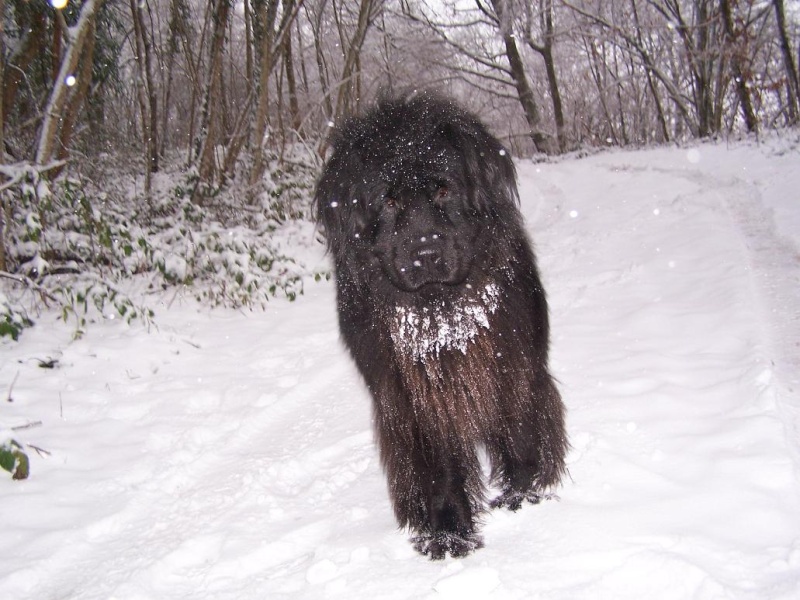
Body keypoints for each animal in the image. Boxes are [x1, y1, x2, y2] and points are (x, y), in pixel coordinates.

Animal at [314, 92, 568, 556]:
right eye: (389, 201)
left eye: (444, 189)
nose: (426, 254)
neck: (441, 316)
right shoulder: (414, 398)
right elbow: (438, 466)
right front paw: (449, 534)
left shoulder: (515, 363)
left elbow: (520, 429)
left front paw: (523, 497)